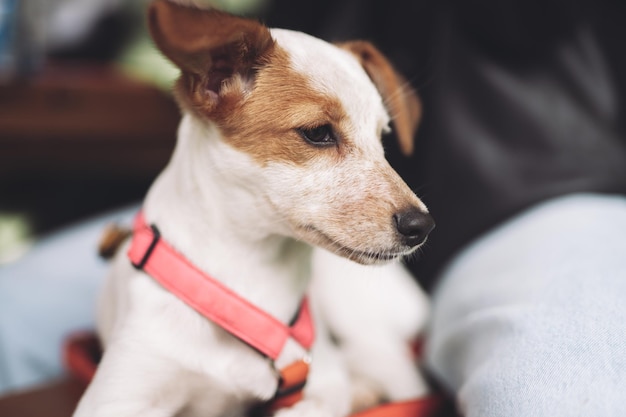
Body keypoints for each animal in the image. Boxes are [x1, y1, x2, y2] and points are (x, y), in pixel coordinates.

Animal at [73, 1, 432, 414]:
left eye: (382, 137)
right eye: (317, 133)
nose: (422, 226)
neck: (251, 270)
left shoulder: (323, 382)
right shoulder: (117, 396)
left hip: (360, 325)